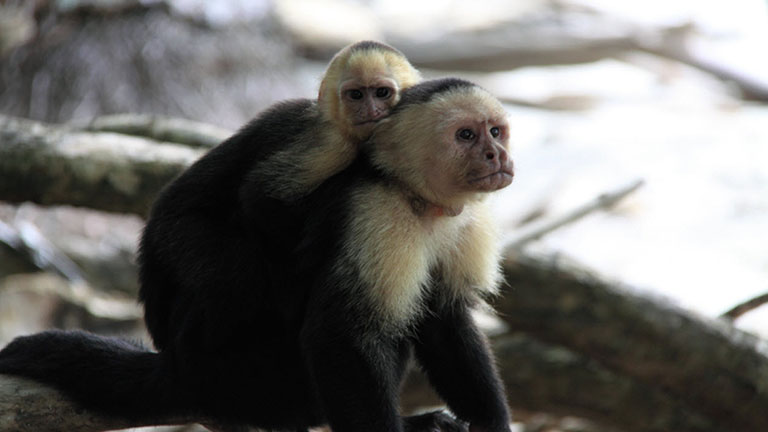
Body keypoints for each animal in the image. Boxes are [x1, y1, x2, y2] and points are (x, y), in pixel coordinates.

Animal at [3, 78, 516, 432]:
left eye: (495, 131)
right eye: (466, 136)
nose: (497, 156)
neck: (418, 198)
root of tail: (176, 366)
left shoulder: (466, 221)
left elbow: (445, 320)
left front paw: (490, 423)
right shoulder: (374, 210)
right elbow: (340, 336)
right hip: (255, 370)